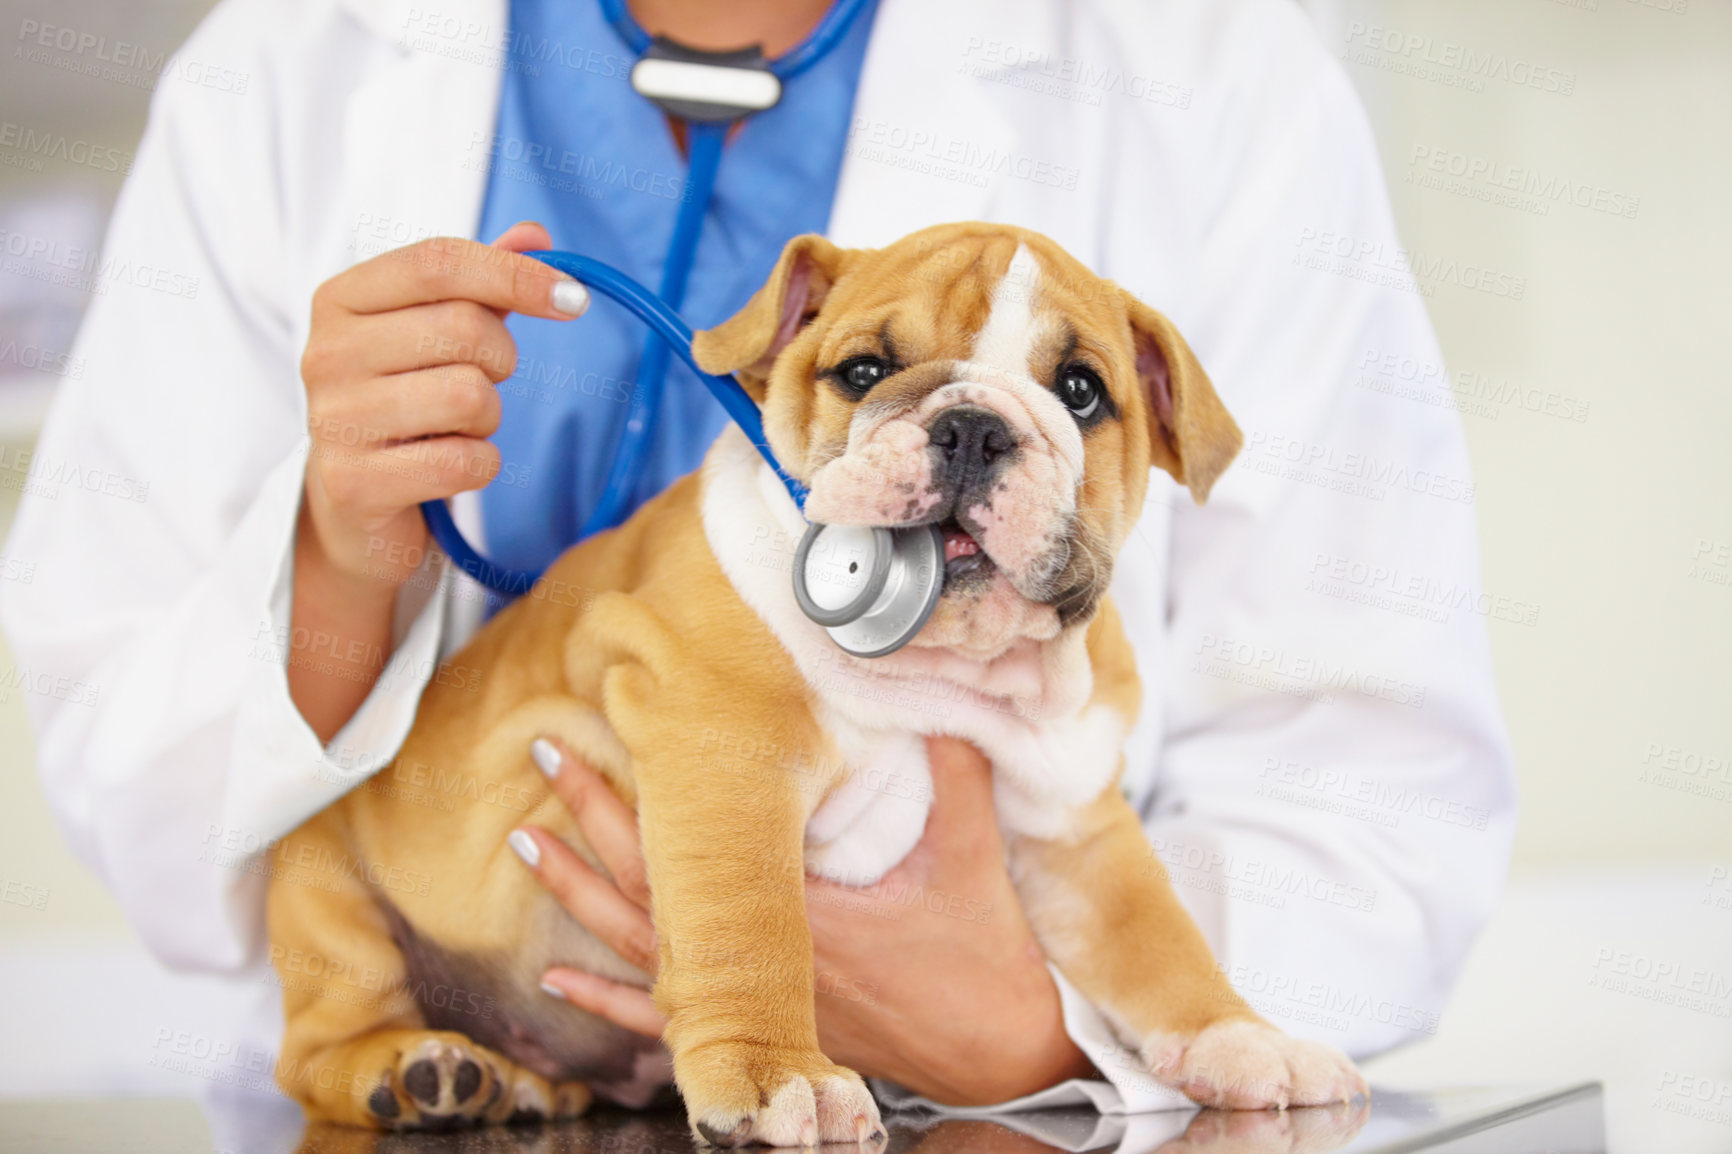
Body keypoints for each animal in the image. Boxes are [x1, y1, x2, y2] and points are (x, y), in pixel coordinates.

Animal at [270, 220, 1357, 1136]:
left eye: (1082, 391)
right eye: (864, 370)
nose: (972, 426)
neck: (938, 672)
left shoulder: (1073, 823)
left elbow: (1155, 936)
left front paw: (1243, 1039)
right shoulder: (728, 757)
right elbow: (754, 925)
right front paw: (777, 1074)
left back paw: (522, 1080)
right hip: (322, 892)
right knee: (314, 1047)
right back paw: (419, 1070)